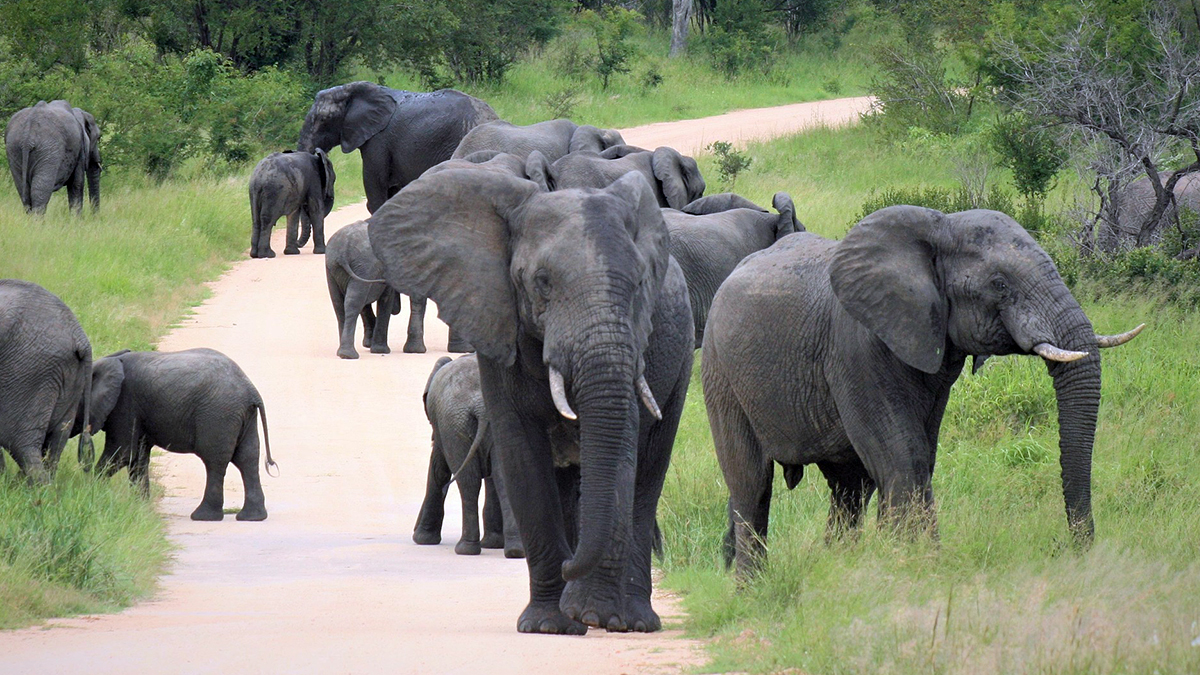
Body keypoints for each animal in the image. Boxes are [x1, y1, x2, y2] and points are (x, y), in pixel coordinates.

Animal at [86, 348, 277, 521]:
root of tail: (251, 391)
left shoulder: (125, 403)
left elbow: (123, 452)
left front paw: (94, 490)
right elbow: (137, 457)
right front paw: (139, 507)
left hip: (218, 414)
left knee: (215, 461)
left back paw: (203, 517)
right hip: (242, 417)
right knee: (247, 458)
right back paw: (252, 517)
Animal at [325, 220, 428, 358]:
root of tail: (343, 252)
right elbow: (385, 300)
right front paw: (380, 351)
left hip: (333, 269)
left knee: (339, 305)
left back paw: (342, 354)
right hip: (362, 265)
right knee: (353, 303)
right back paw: (349, 355)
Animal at [414, 355, 524, 558]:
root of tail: (481, 406)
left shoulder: (442, 430)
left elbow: (438, 469)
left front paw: (422, 539)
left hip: (454, 425)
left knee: (468, 482)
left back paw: (465, 549)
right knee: (502, 479)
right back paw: (514, 550)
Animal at [702, 205, 1144, 578]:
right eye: (999, 285)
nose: (1071, 548)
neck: (938, 226)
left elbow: (919, 456)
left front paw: (908, 563)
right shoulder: (855, 348)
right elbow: (904, 455)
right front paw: (915, 569)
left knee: (849, 488)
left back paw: (837, 565)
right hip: (719, 370)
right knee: (752, 485)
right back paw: (753, 589)